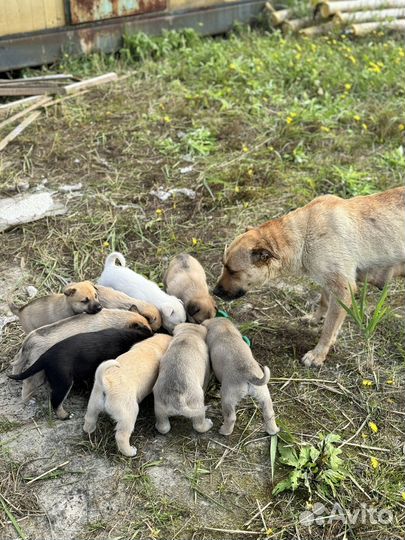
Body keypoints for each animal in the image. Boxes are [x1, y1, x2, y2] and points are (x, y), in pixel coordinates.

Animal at [10, 308, 150, 400]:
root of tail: (31, 339)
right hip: (38, 373)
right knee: (28, 382)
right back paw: (27, 399)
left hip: (22, 358)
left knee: (16, 365)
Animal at [213, 186, 402, 368]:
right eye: (223, 265)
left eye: (232, 271)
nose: (214, 292)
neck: (304, 235)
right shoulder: (328, 282)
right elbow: (324, 302)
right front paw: (316, 318)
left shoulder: (343, 289)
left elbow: (329, 328)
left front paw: (318, 354)